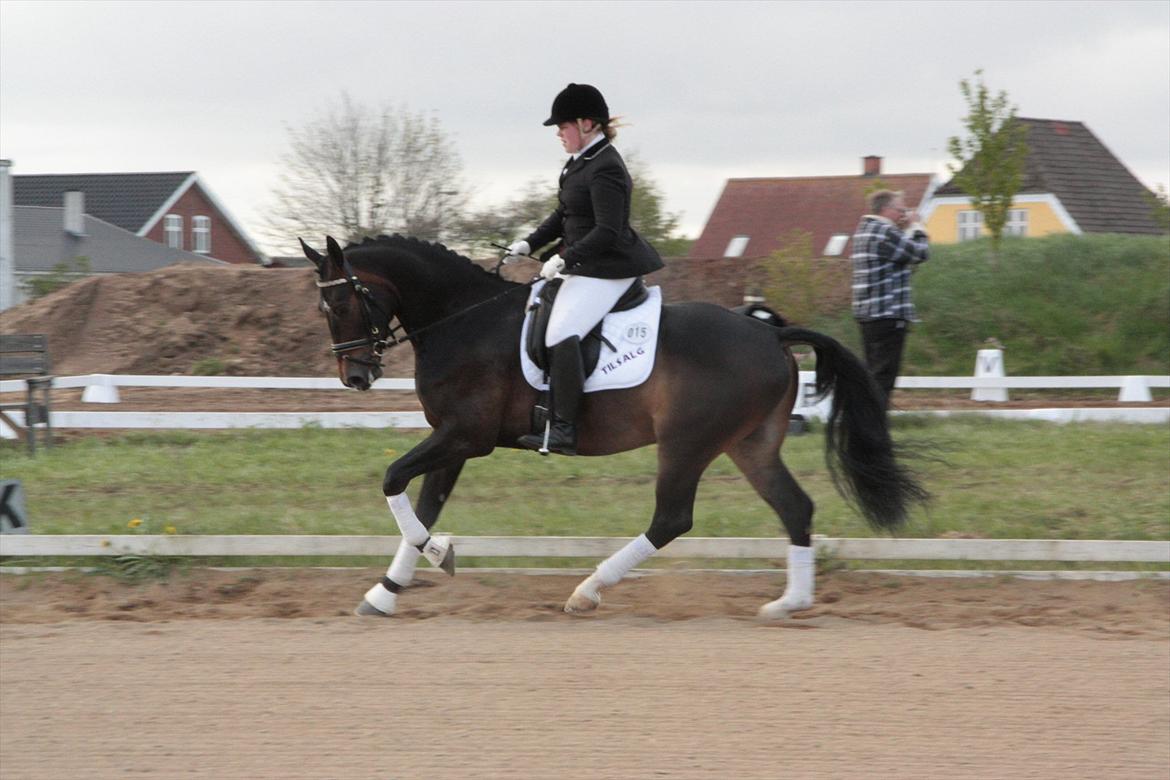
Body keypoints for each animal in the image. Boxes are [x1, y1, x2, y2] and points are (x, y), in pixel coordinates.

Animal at [306, 235, 926, 617]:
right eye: (325, 310)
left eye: (343, 306)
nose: (356, 376)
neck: (462, 320)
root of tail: (771, 332)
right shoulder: (455, 441)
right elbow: (424, 506)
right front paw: (387, 593)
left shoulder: (465, 436)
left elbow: (393, 481)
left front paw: (439, 556)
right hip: (749, 445)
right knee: (795, 508)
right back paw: (788, 604)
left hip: (687, 443)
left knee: (671, 518)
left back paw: (586, 592)